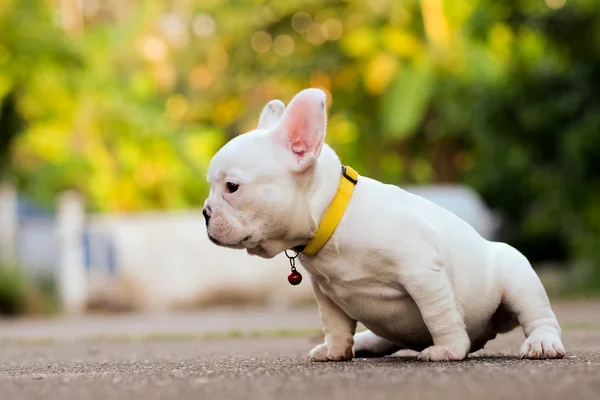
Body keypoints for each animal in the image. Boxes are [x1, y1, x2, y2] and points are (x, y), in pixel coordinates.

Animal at [204, 88, 564, 362]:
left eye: (232, 187)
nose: (205, 212)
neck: (333, 220)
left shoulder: (422, 273)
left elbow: (438, 315)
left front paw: (447, 349)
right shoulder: (325, 292)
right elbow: (334, 323)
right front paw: (334, 350)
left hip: (517, 277)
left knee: (537, 315)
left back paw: (542, 343)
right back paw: (364, 342)